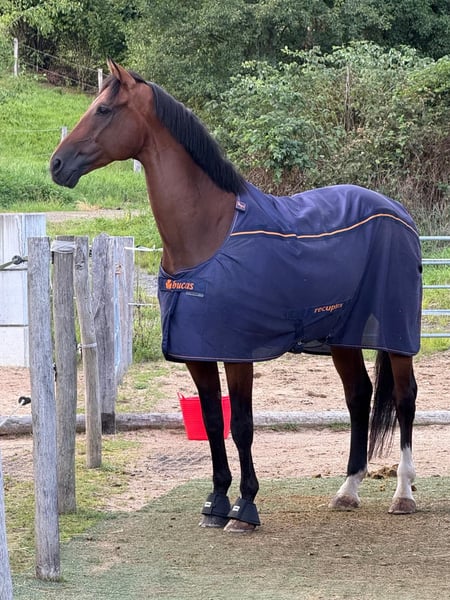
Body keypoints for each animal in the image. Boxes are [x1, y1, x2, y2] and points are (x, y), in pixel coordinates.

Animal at [50, 60, 422, 533]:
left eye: (103, 109)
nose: (57, 164)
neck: (207, 233)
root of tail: (400, 213)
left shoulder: (238, 353)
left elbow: (242, 425)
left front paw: (245, 507)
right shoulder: (197, 353)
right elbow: (213, 422)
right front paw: (216, 502)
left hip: (396, 335)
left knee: (405, 398)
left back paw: (403, 493)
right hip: (344, 336)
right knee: (359, 396)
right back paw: (348, 490)